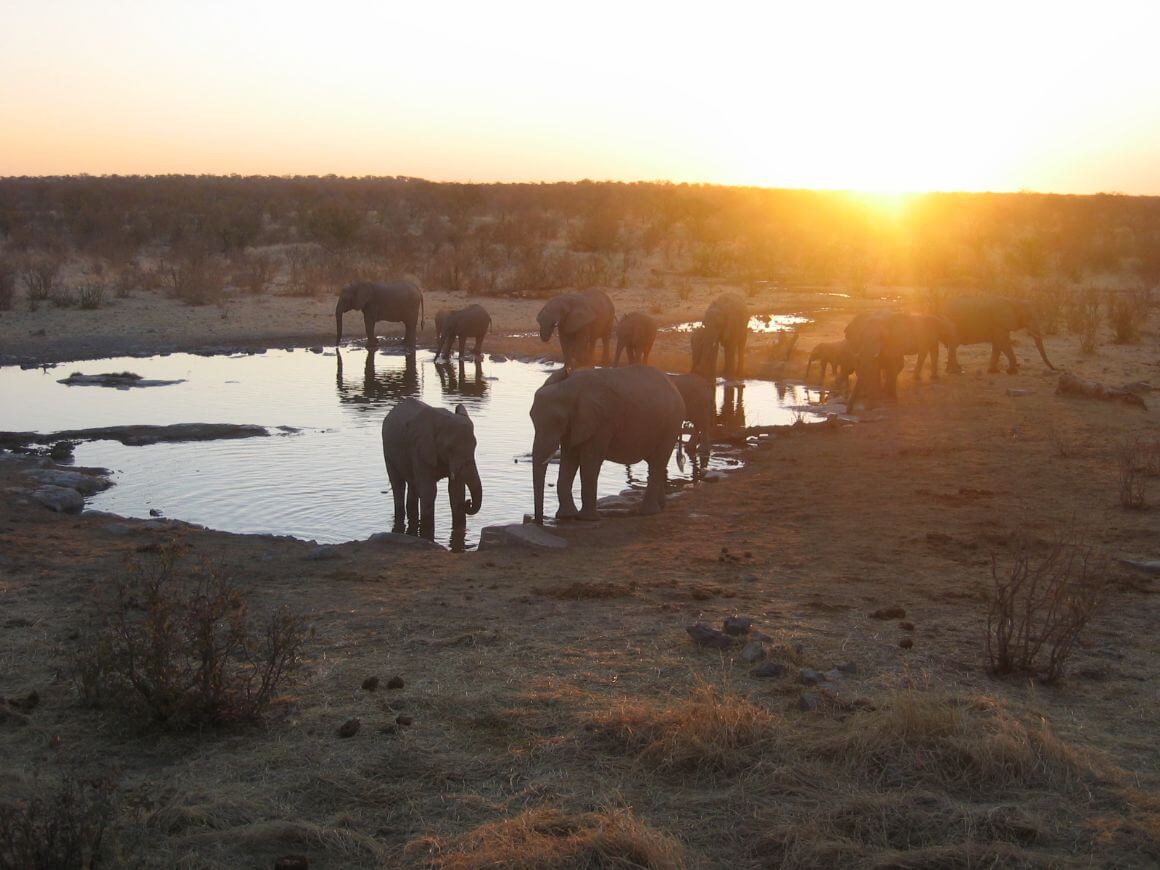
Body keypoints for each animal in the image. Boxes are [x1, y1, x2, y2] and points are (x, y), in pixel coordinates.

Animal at [382, 396, 482, 538]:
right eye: (449, 449)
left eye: (475, 445)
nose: (468, 502)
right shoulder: (420, 449)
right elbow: (429, 491)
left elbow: (456, 491)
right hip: (387, 450)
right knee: (398, 484)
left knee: (413, 485)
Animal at [531, 368, 682, 524]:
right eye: (531, 417)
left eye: (558, 421)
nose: (537, 521)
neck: (569, 386)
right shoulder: (576, 424)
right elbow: (569, 460)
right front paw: (566, 516)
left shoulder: (602, 422)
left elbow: (590, 461)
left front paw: (587, 519)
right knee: (655, 463)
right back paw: (661, 506)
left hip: (672, 424)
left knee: (657, 462)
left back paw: (647, 512)